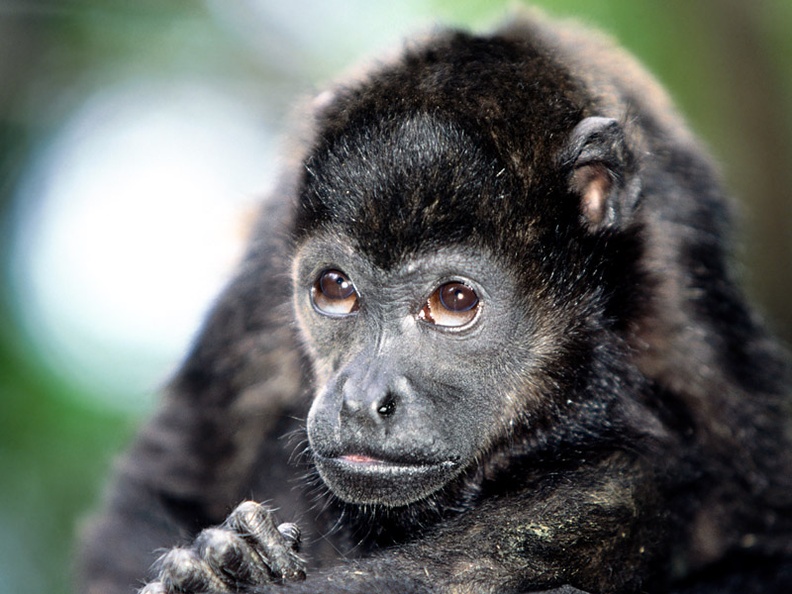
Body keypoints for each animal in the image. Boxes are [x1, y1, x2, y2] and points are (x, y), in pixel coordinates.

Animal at [77, 10, 792, 594]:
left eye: (454, 300)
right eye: (334, 288)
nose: (362, 398)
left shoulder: (680, 282)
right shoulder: (265, 272)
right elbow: (166, 491)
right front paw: (217, 566)